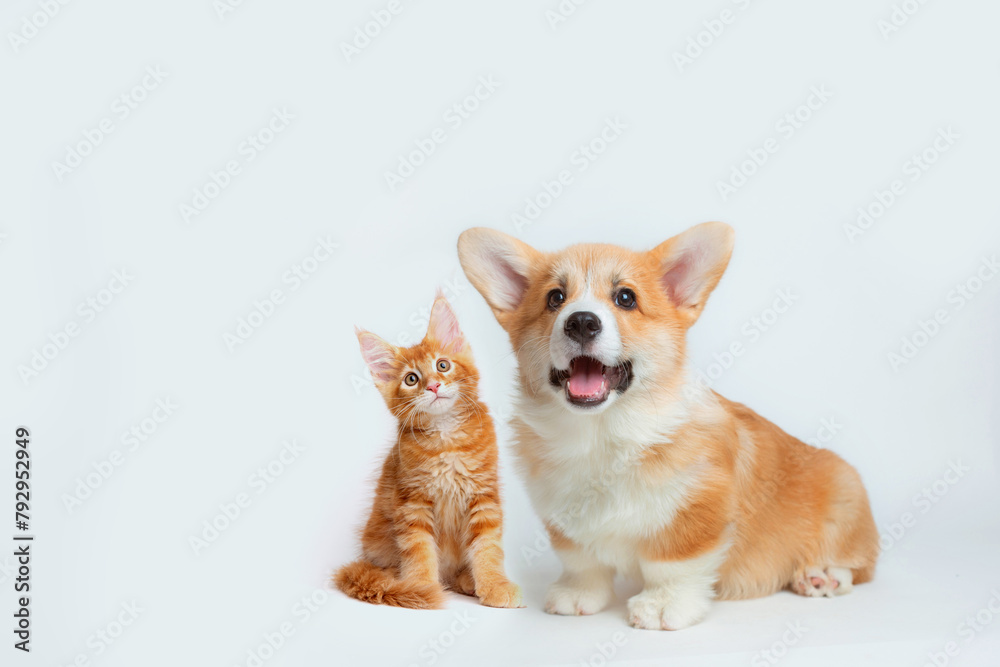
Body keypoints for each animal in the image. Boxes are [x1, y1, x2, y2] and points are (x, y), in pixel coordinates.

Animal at [336, 292, 524, 612]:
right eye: (411, 379)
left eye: (443, 365)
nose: (434, 386)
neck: (446, 438)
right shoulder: (412, 502)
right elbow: (419, 551)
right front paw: (420, 588)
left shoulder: (483, 496)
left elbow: (487, 548)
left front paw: (494, 585)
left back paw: (468, 580)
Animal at [458, 223, 880, 632]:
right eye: (555, 298)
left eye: (626, 298)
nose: (581, 321)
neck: (603, 432)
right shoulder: (564, 518)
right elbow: (582, 561)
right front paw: (578, 594)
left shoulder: (695, 511)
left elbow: (672, 565)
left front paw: (662, 606)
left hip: (844, 501)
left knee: (859, 565)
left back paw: (822, 576)